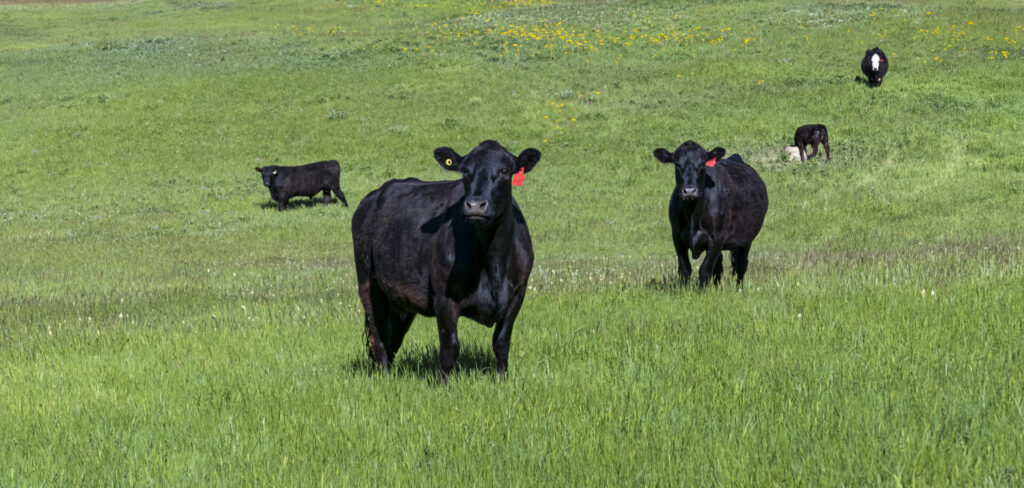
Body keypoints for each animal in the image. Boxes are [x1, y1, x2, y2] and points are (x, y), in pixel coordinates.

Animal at [655, 140, 770, 284]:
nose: (689, 191)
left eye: (702, 164)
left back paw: (739, 288)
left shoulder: (717, 238)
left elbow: (704, 271)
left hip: (746, 240)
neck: (693, 215)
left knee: (741, 266)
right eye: (677, 164)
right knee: (719, 267)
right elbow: (685, 269)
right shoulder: (677, 236)